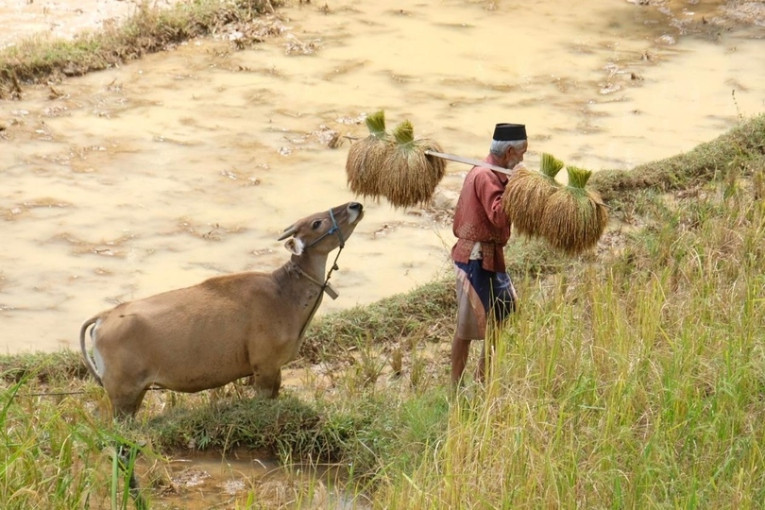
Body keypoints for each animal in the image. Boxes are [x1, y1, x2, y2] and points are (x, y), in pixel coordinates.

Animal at [80, 201, 364, 419]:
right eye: (317, 223)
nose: (355, 205)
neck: (283, 294)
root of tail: (104, 317)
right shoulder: (265, 367)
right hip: (123, 395)